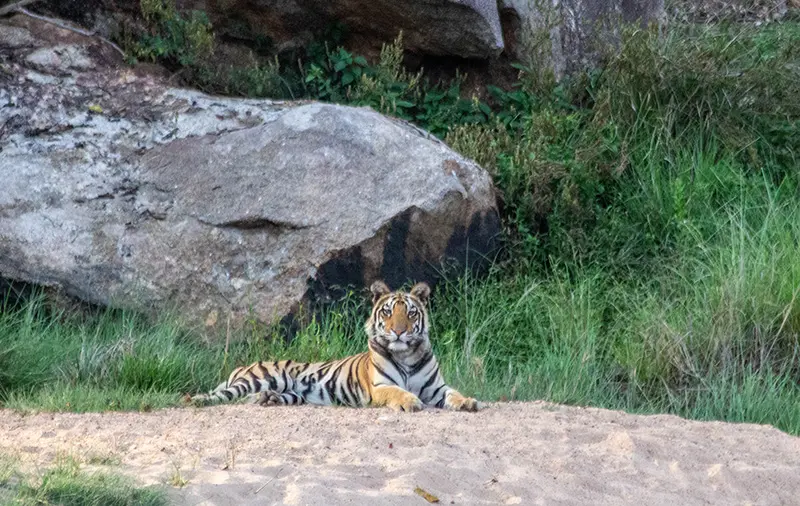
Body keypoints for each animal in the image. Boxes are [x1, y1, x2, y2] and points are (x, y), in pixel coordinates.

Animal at [189, 280, 479, 412]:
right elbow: (398, 392)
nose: (398, 331)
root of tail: (239, 368)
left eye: (410, 313)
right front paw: (411, 401)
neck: (406, 355)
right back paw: (197, 399)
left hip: (291, 393)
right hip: (263, 378)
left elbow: (454, 393)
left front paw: (468, 402)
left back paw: (267, 400)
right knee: (223, 395)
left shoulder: (437, 387)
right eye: (387, 312)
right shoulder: (380, 387)